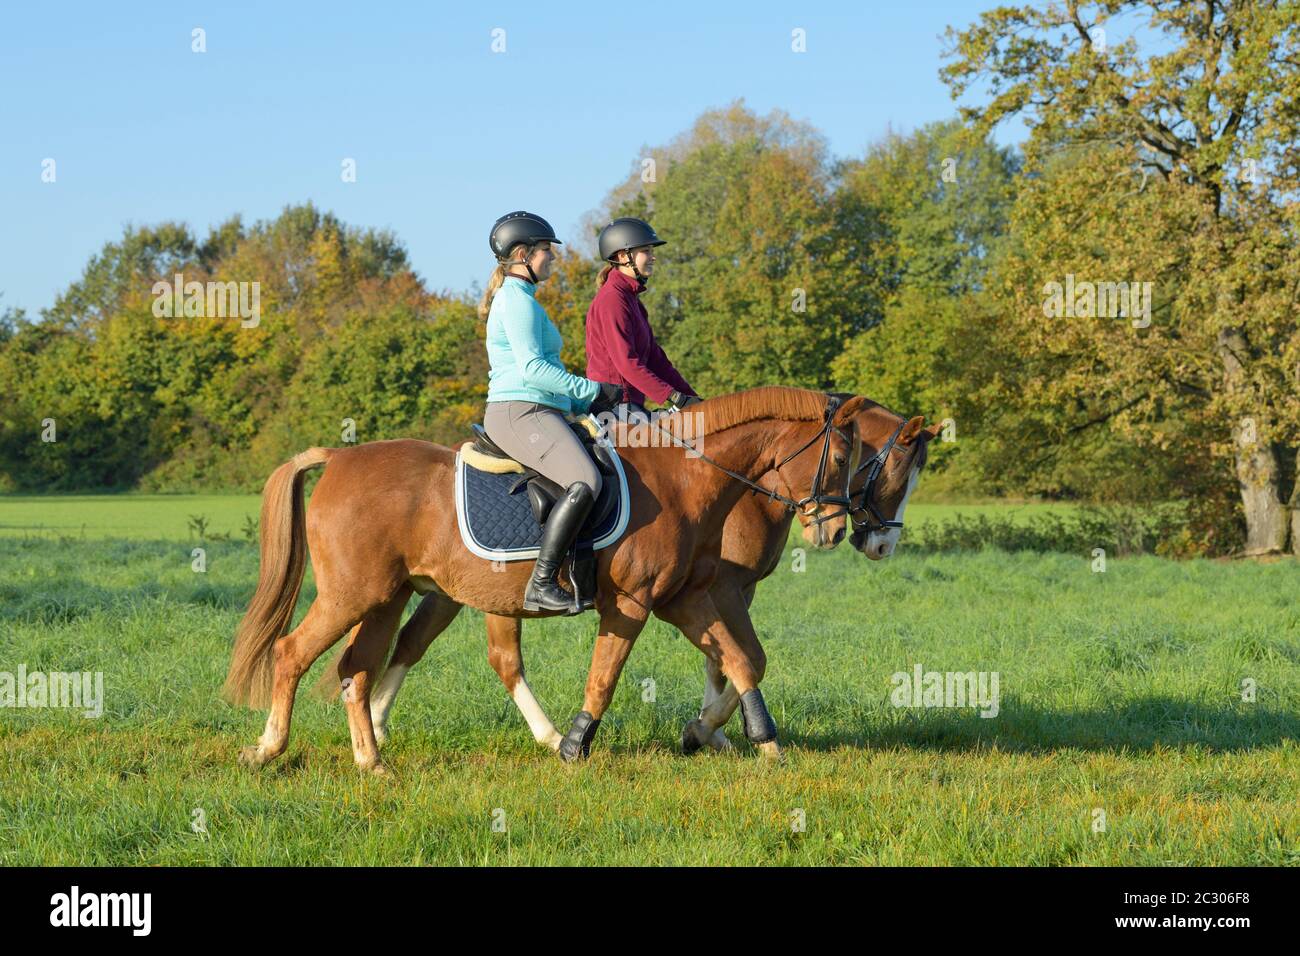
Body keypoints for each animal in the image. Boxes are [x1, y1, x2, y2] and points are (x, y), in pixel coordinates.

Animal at [223, 386, 869, 773]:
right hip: (351, 596)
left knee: (357, 669)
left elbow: (741, 660)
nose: (835, 529)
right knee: (291, 652)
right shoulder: (633, 604)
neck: (685, 476)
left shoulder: (684, 599)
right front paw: (574, 746)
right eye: (840, 459)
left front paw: (762, 740)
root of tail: (336, 457)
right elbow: (604, 679)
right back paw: (269, 747)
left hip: (385, 598)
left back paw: (372, 760)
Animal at [357, 395, 940, 757]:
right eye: (856, 460)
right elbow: (739, 658)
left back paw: (380, 722)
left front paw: (714, 730)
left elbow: (734, 658)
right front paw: (706, 730)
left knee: (418, 641)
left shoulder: (705, 591)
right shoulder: (723, 588)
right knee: (490, 657)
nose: (868, 541)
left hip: (455, 588)